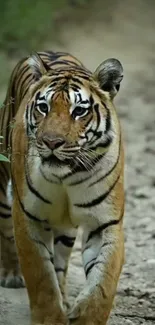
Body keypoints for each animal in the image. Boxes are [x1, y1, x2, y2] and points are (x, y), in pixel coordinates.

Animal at [0, 50, 124, 324]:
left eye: (79, 111)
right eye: (43, 107)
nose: (51, 142)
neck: (67, 176)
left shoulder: (105, 223)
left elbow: (103, 282)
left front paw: (85, 317)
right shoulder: (28, 217)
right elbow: (41, 276)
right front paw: (50, 318)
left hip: (66, 230)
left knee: (60, 263)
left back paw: (65, 299)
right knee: (5, 231)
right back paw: (12, 274)